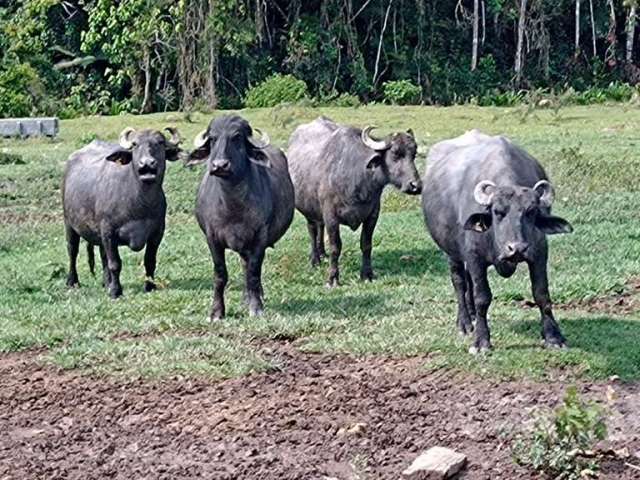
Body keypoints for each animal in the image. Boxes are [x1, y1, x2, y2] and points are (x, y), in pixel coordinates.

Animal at [62, 129, 182, 298]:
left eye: (160, 143)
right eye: (135, 144)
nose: (147, 163)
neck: (140, 204)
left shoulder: (157, 233)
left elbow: (149, 260)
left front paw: (150, 286)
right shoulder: (109, 232)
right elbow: (115, 263)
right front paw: (115, 291)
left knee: (102, 255)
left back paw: (106, 282)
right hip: (69, 223)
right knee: (72, 250)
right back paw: (73, 281)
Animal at [185, 115, 296, 318]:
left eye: (237, 137)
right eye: (212, 139)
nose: (220, 165)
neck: (233, 207)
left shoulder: (260, 237)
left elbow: (253, 272)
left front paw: (256, 307)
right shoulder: (212, 239)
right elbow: (220, 274)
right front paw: (217, 312)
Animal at [288, 116, 422, 286]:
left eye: (414, 154)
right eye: (395, 154)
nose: (416, 186)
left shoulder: (372, 215)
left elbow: (366, 244)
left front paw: (367, 274)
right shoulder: (331, 216)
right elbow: (335, 247)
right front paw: (333, 278)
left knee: (320, 226)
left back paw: (322, 254)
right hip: (308, 210)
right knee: (312, 230)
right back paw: (315, 259)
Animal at [422, 130, 572, 352]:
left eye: (531, 212)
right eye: (497, 212)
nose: (517, 249)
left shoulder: (539, 253)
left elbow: (541, 294)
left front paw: (554, 337)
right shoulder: (475, 256)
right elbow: (482, 297)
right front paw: (481, 341)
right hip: (450, 252)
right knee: (459, 281)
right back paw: (465, 323)